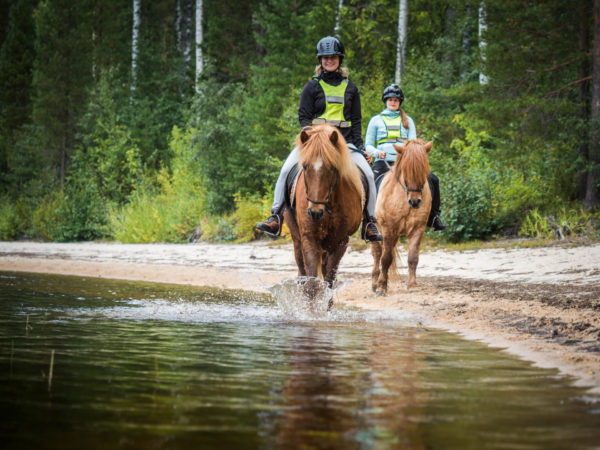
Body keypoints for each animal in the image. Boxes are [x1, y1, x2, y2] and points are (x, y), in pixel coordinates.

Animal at [284, 123, 364, 292]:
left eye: (332, 167)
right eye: (305, 167)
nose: (315, 212)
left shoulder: (341, 242)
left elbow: (329, 281)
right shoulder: (309, 238)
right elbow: (312, 283)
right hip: (297, 239)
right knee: (301, 271)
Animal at [368, 141, 434, 296]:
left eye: (424, 170)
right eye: (406, 171)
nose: (415, 202)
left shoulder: (417, 229)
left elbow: (413, 257)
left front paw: (412, 286)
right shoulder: (388, 229)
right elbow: (386, 258)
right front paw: (381, 287)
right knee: (377, 254)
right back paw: (374, 283)